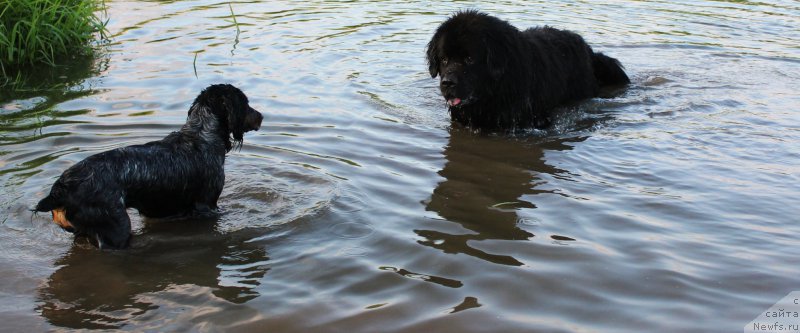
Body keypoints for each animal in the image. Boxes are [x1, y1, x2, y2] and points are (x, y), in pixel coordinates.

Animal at [34, 84, 262, 248]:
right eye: (246, 103)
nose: (261, 116)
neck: (202, 136)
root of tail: (62, 189)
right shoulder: (207, 205)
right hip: (116, 230)